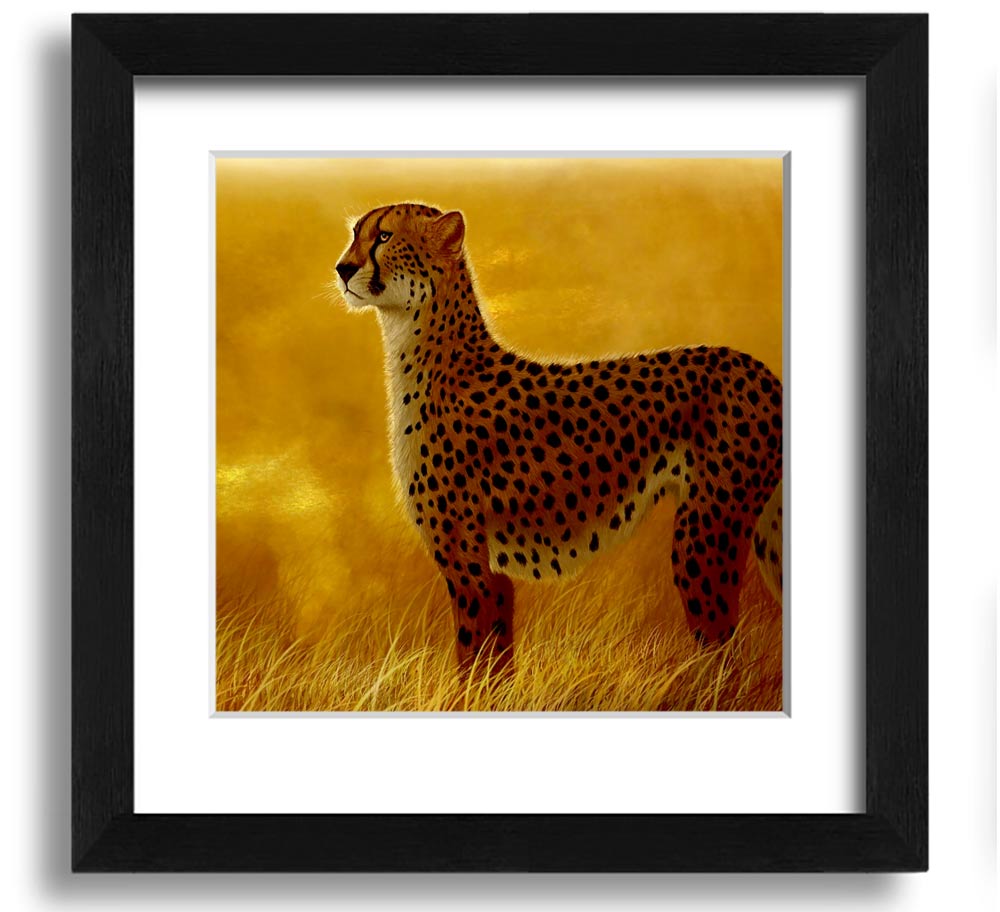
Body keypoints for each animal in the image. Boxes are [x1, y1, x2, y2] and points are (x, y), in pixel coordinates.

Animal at [334, 202, 783, 674]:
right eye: (356, 234)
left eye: (384, 236)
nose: (343, 268)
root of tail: (758, 367)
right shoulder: (492, 572)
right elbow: (494, 663)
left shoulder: (470, 568)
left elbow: (475, 661)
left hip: (704, 535)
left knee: (721, 647)